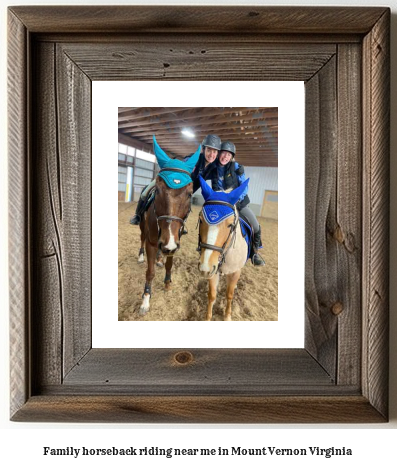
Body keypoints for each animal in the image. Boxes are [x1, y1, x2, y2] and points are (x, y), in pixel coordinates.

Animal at [139, 136, 201, 318]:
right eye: (158, 191)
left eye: (189, 193)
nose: (167, 244)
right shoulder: (153, 242)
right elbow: (150, 272)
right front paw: (146, 299)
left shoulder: (174, 242)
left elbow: (169, 264)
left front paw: (167, 283)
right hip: (142, 228)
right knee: (141, 239)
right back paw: (141, 256)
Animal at [196, 175, 249, 322]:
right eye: (200, 220)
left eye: (230, 225)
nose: (205, 268)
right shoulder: (213, 271)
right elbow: (212, 295)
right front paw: (207, 318)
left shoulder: (235, 271)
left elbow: (229, 295)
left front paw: (227, 316)